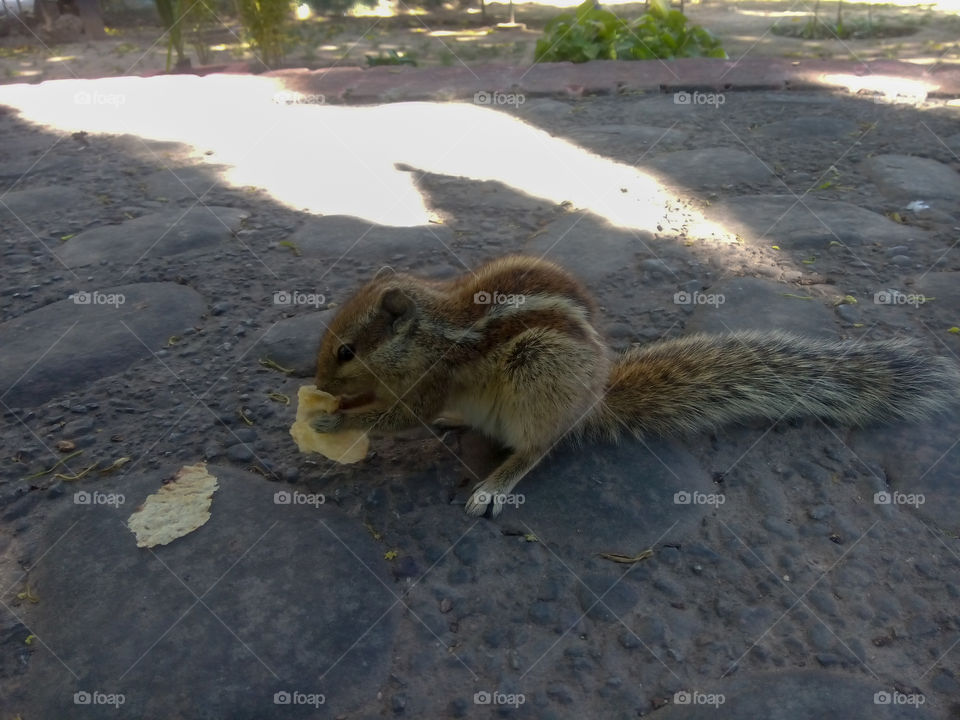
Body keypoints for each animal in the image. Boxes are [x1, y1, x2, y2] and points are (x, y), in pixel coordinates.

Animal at [311, 255, 960, 517]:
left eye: (346, 351)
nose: (314, 379)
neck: (429, 333)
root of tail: (593, 401)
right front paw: (328, 406)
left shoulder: (427, 382)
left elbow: (394, 417)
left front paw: (330, 417)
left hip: (539, 373)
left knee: (539, 447)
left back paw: (496, 483)